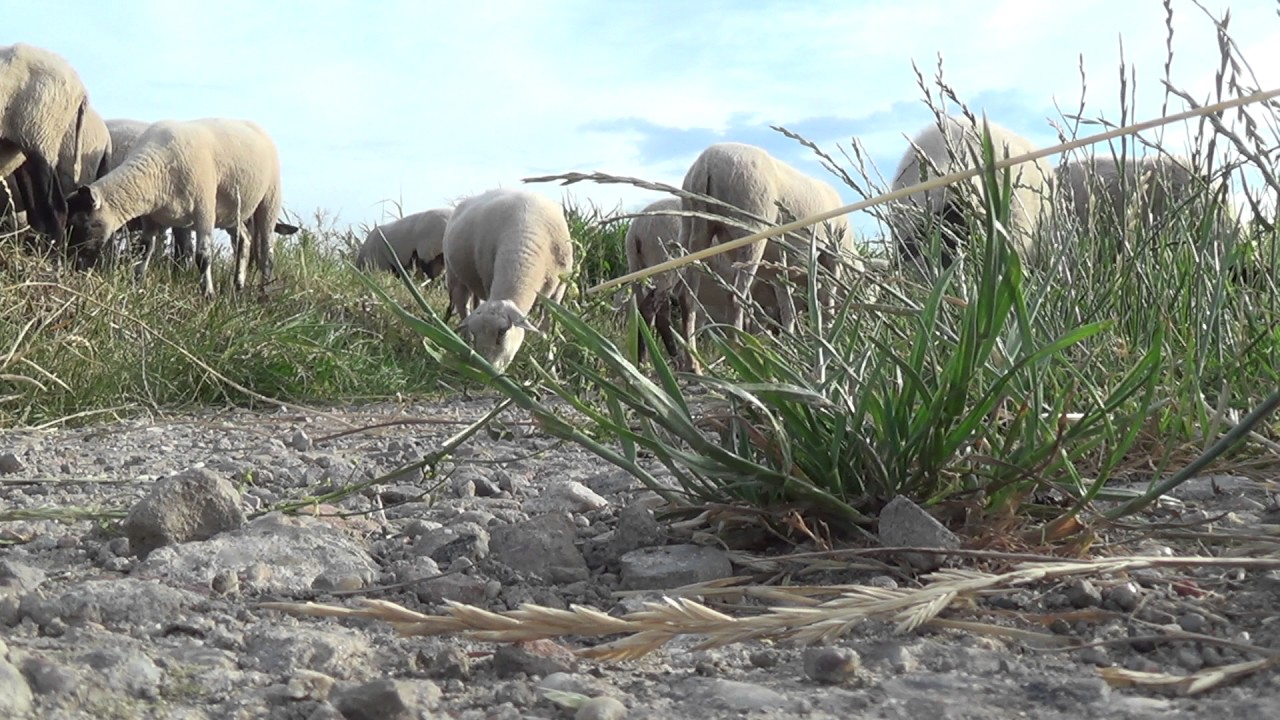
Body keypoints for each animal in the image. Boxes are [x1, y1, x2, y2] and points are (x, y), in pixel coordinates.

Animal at [64, 117, 288, 296]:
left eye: (84, 224)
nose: (72, 264)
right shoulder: (152, 219)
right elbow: (144, 250)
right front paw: (137, 283)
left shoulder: (204, 210)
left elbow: (202, 256)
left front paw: (208, 294)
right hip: (233, 212)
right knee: (245, 239)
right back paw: (238, 285)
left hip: (269, 199)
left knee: (267, 251)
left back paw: (265, 292)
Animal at [442, 187, 574, 372]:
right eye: (477, 333)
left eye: (502, 332)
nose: (487, 369)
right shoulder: (488, 278)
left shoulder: (559, 289)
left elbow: (547, 327)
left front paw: (549, 368)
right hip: (454, 275)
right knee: (463, 307)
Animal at [674, 142, 860, 371]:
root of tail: (705, 164)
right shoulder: (832, 257)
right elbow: (827, 303)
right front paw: (827, 339)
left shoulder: (779, 268)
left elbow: (787, 308)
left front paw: (790, 345)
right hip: (751, 228)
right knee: (735, 297)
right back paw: (739, 355)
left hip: (693, 229)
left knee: (686, 296)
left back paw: (692, 363)